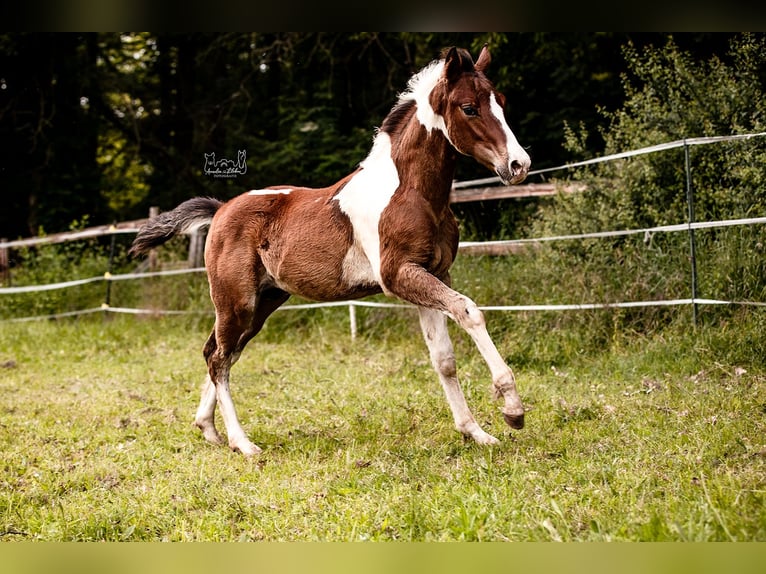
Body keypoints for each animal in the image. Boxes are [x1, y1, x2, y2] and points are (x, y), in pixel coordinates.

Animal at [130, 46, 528, 460]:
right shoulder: (400, 275)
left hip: (263, 301)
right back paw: (243, 442)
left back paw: (208, 429)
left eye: (501, 102)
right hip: (235, 300)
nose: (519, 164)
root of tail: (221, 208)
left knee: (221, 352)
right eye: (469, 108)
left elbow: (444, 359)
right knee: (220, 358)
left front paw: (475, 432)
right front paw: (512, 409)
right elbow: (469, 311)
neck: (410, 192)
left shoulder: (431, 273)